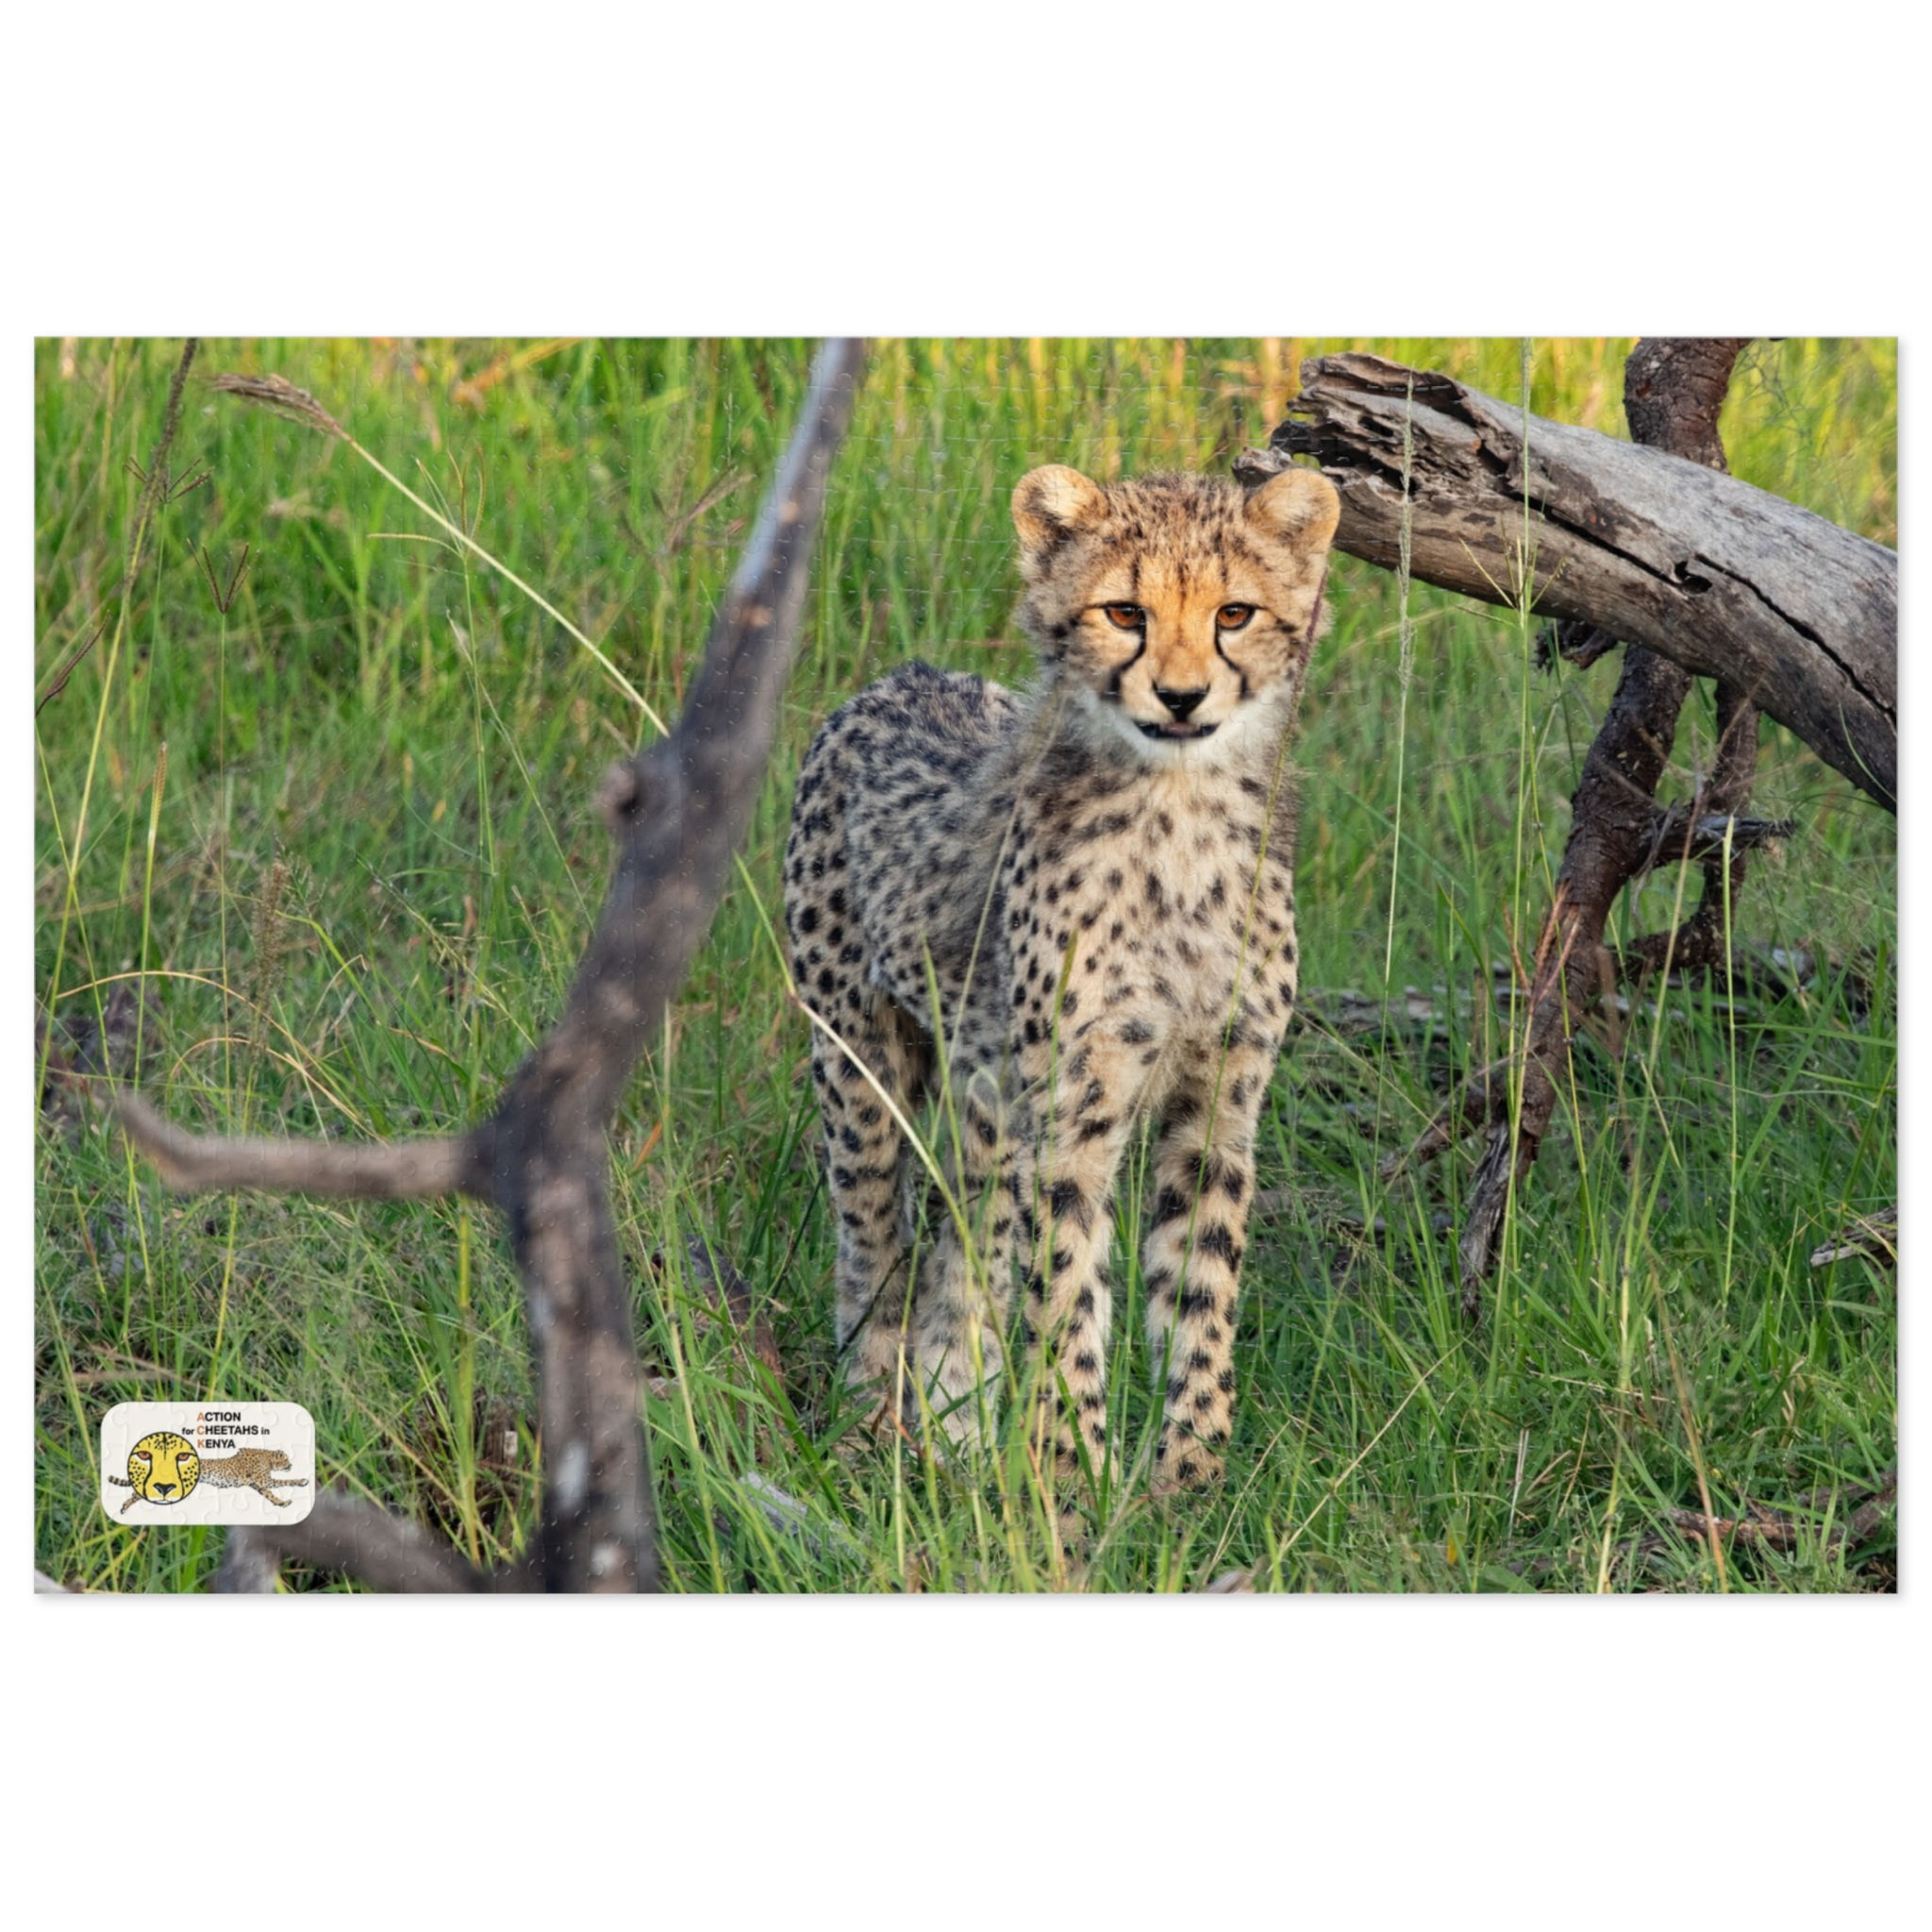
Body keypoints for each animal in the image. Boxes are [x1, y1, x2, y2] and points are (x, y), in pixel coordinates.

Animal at [783, 460, 1340, 1504]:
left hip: (989, 1100)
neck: (1177, 813)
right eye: (1123, 611)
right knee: (875, 1243)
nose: (1180, 697)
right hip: (861, 1064)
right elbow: (1068, 1292)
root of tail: (903, 674)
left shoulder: (1218, 1099)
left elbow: (1201, 1287)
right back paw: (868, 1425)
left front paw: (1190, 1477)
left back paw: (955, 1429)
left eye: (1234, 612)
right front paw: (1071, 1477)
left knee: (963, 1247)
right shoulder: (1074, 1113)